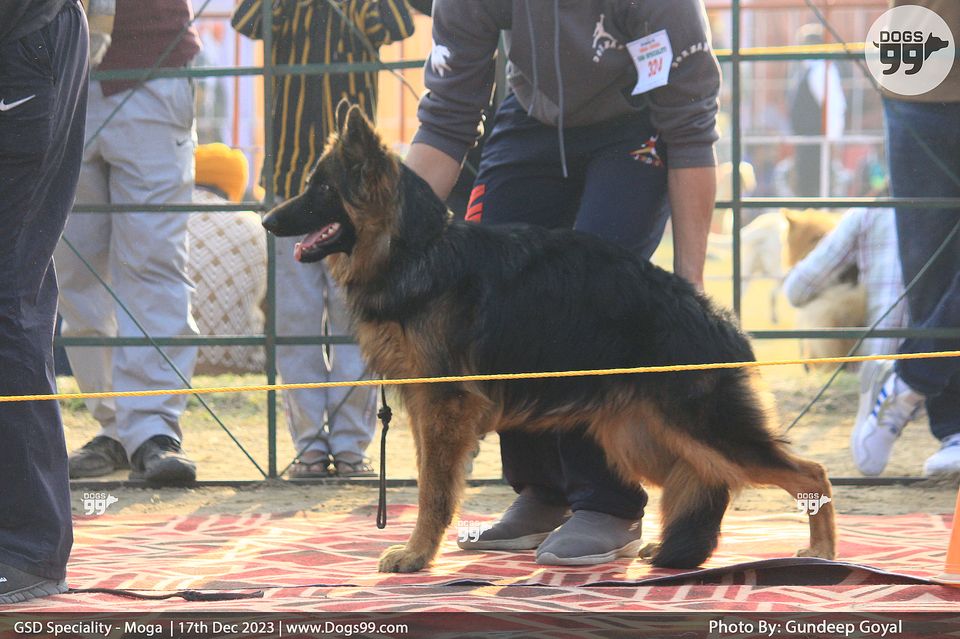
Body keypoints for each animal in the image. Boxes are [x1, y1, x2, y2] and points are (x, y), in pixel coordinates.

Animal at [262, 106, 836, 573]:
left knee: (810, 473)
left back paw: (823, 554)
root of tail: (717, 318)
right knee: (695, 477)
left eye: (321, 189)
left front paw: (418, 555)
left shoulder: (444, 407)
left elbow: (433, 492)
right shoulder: (428, 406)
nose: (267, 220)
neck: (417, 250)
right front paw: (421, 551)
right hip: (641, 436)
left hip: (703, 427)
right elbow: (431, 482)